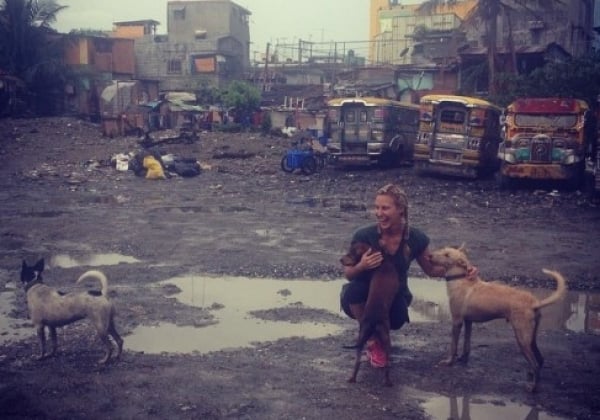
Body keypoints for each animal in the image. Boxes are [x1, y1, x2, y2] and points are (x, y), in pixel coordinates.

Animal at [342, 241, 398, 386]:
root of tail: (373, 321)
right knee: (387, 364)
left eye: (351, 253)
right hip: (386, 337)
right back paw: (388, 381)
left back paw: (352, 378)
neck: (383, 263)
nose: (341, 260)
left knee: (357, 361)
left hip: (361, 336)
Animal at [428, 244, 564, 392]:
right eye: (442, 249)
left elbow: (453, 346)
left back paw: (533, 387)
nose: (429, 255)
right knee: (540, 359)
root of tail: (534, 302)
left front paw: (449, 362)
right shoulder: (468, 322)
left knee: (535, 363)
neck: (462, 280)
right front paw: (463, 359)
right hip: (531, 337)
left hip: (522, 338)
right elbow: (466, 344)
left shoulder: (457, 321)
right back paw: (532, 375)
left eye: (447, 255)